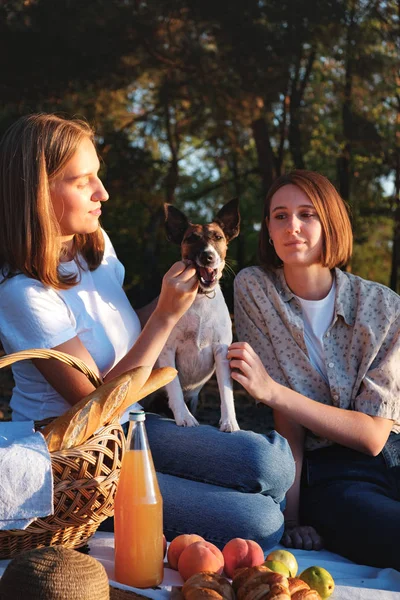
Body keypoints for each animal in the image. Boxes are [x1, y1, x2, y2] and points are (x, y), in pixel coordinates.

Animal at [155, 198, 239, 432]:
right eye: (191, 238)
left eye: (218, 237)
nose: (207, 256)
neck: (201, 298)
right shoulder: (167, 350)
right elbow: (173, 386)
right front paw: (184, 417)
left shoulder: (222, 351)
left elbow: (226, 392)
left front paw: (229, 421)